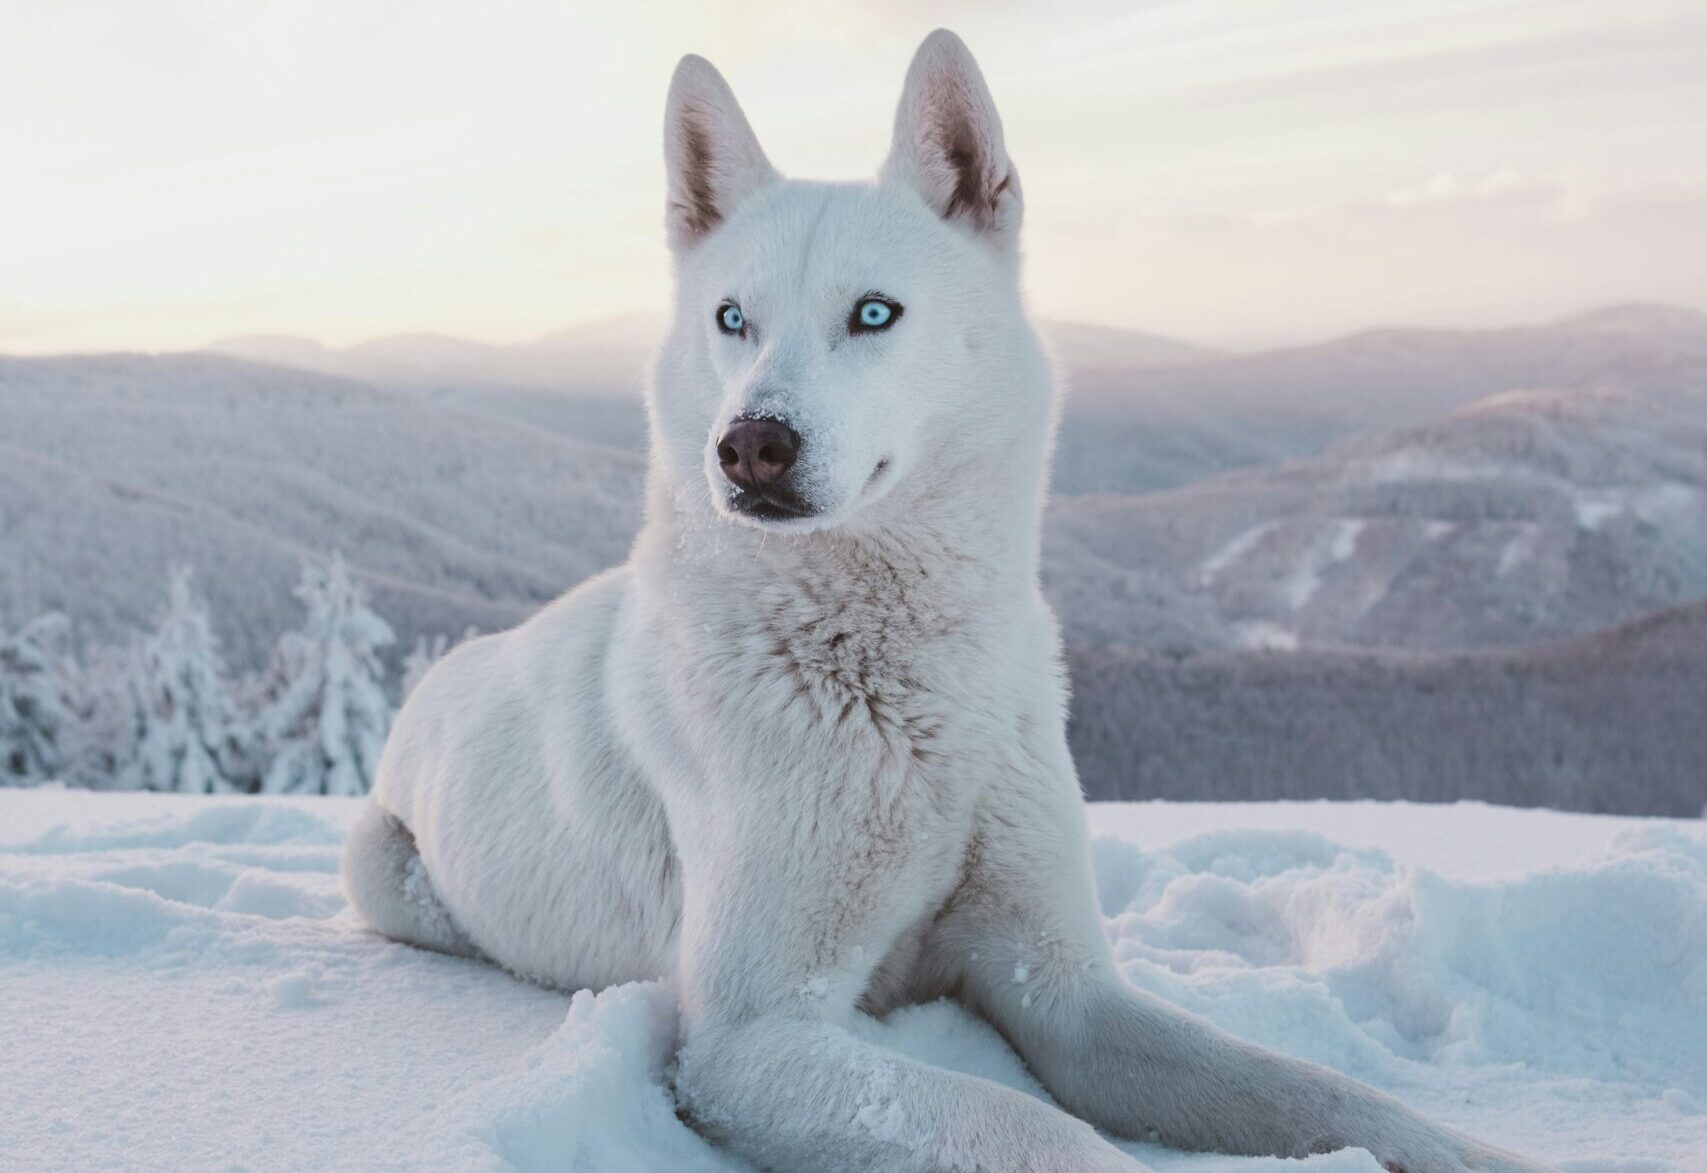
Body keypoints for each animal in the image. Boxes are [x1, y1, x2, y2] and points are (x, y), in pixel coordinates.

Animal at [343, 27, 1549, 1173]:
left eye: (874, 313)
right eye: (732, 319)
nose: (749, 446)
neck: (903, 687)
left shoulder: (1067, 992)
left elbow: (1320, 1093)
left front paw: (1472, 1147)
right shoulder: (751, 1038)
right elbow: (1037, 1134)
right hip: (385, 874)